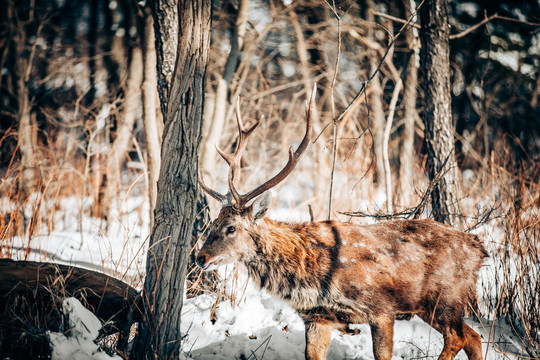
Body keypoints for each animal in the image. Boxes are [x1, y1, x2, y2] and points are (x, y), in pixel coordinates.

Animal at [196, 87, 488, 360]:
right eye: (212, 224)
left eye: (231, 227)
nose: (200, 257)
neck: (312, 275)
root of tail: (478, 247)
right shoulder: (317, 317)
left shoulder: (381, 308)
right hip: (431, 305)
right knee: (474, 337)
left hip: (445, 297)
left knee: (459, 337)